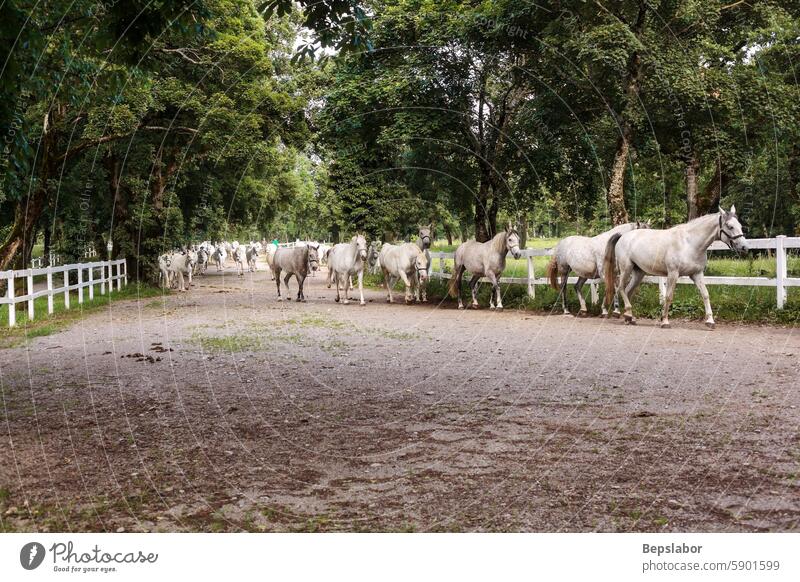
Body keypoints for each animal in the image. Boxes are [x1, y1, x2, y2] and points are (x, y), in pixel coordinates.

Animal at [608, 208, 752, 330]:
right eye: (730, 226)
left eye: (740, 226)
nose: (744, 247)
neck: (690, 243)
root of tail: (622, 236)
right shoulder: (673, 273)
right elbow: (668, 296)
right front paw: (665, 321)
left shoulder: (697, 274)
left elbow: (705, 294)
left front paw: (710, 321)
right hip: (626, 269)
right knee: (620, 288)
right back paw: (627, 314)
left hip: (639, 273)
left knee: (628, 291)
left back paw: (630, 317)